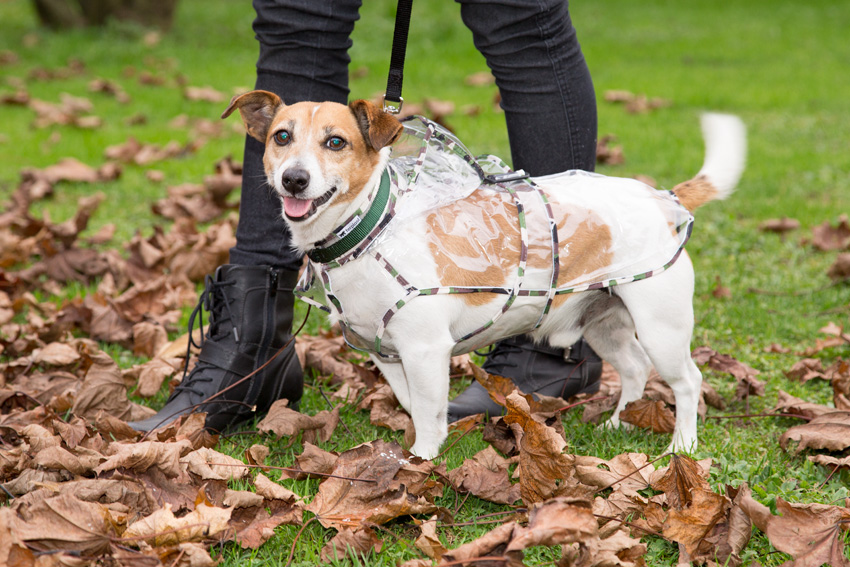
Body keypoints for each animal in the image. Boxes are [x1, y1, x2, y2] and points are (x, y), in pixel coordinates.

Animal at [220, 91, 744, 460]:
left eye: (335, 142)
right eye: (281, 137)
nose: (294, 179)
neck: (371, 227)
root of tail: (663, 198)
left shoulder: (425, 349)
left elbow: (428, 411)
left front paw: (420, 462)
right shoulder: (386, 355)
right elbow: (416, 406)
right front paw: (424, 446)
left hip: (661, 326)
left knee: (688, 381)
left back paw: (682, 446)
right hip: (603, 319)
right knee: (634, 367)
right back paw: (619, 424)